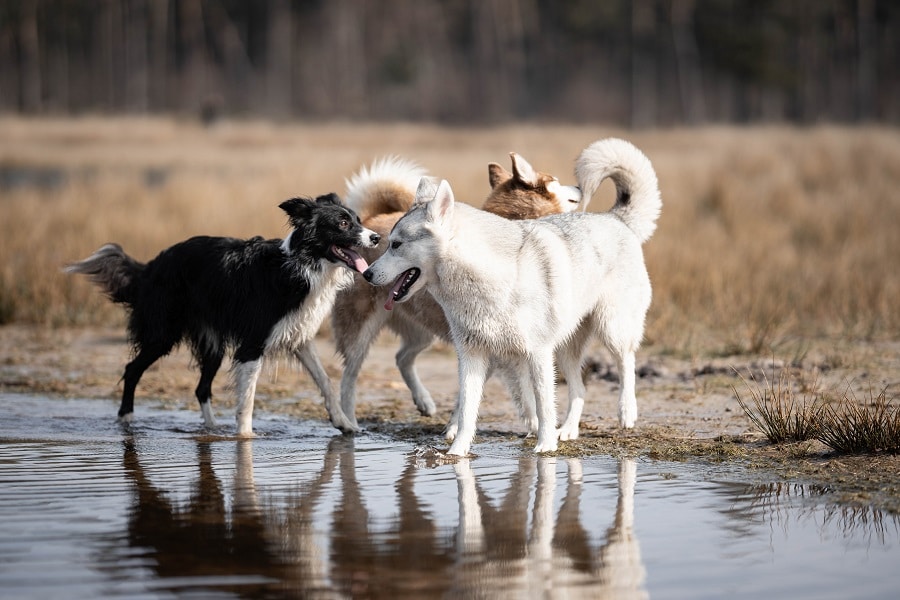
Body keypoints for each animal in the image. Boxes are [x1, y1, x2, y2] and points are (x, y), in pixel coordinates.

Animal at [67, 195, 380, 434]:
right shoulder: (253, 344)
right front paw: (245, 439)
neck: (303, 265)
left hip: (212, 343)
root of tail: (151, 266)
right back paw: (126, 420)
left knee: (201, 388)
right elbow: (248, 399)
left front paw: (345, 424)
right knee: (132, 368)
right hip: (163, 334)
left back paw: (212, 428)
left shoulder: (298, 336)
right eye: (342, 223)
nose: (376, 237)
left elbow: (325, 380)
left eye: (358, 220)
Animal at [332, 152, 584, 428]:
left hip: (423, 332)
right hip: (360, 333)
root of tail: (368, 221)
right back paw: (348, 421)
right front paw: (534, 423)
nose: (580, 187)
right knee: (349, 376)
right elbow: (520, 391)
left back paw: (424, 401)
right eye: (555, 180)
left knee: (402, 357)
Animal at [362, 137, 664, 454]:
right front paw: (457, 451)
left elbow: (542, 405)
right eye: (388, 243)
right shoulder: (472, 356)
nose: (366, 273)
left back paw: (626, 412)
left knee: (626, 363)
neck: (484, 280)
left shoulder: (537, 353)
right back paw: (568, 430)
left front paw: (545, 445)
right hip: (566, 348)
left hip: (611, 330)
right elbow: (467, 409)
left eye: (396, 244)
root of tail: (615, 218)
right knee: (580, 388)